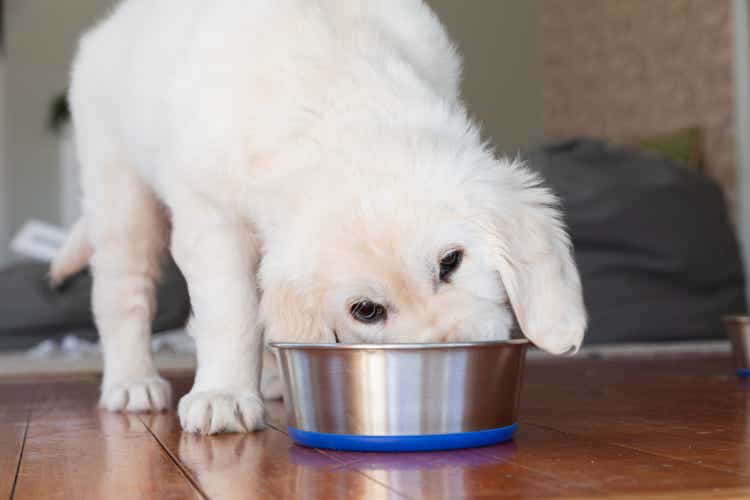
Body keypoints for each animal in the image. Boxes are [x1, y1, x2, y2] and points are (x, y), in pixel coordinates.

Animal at [51, 0, 588, 434]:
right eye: (366, 311)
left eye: (451, 262)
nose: (451, 351)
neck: (335, 100)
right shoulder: (210, 216)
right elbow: (230, 311)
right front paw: (223, 394)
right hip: (119, 195)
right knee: (123, 296)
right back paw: (132, 382)